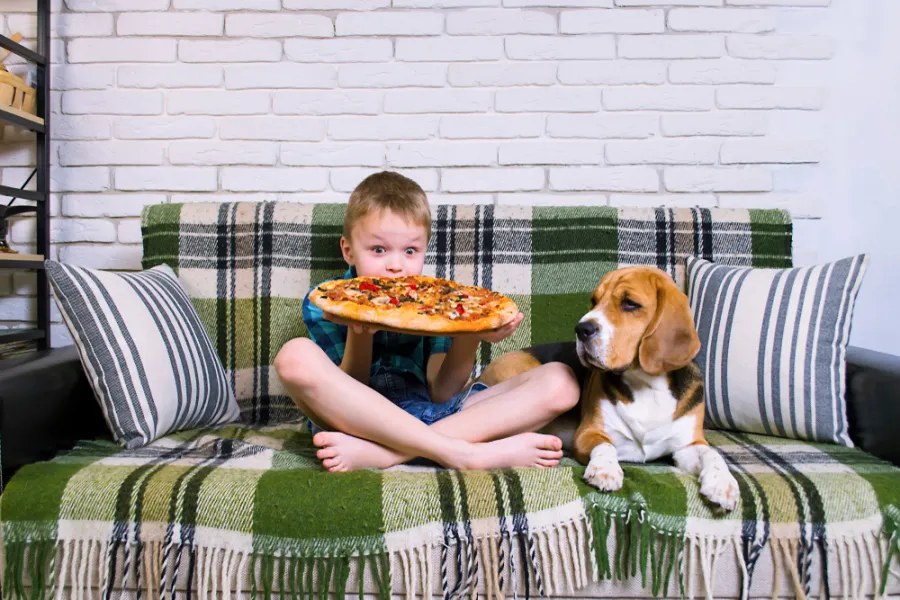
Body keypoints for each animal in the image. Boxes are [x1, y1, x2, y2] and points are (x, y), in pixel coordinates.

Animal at [478, 266, 740, 510]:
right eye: (594, 300)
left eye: (630, 303)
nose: (581, 329)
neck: (647, 384)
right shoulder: (588, 433)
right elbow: (605, 445)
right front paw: (605, 469)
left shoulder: (687, 445)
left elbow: (712, 453)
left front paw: (722, 484)